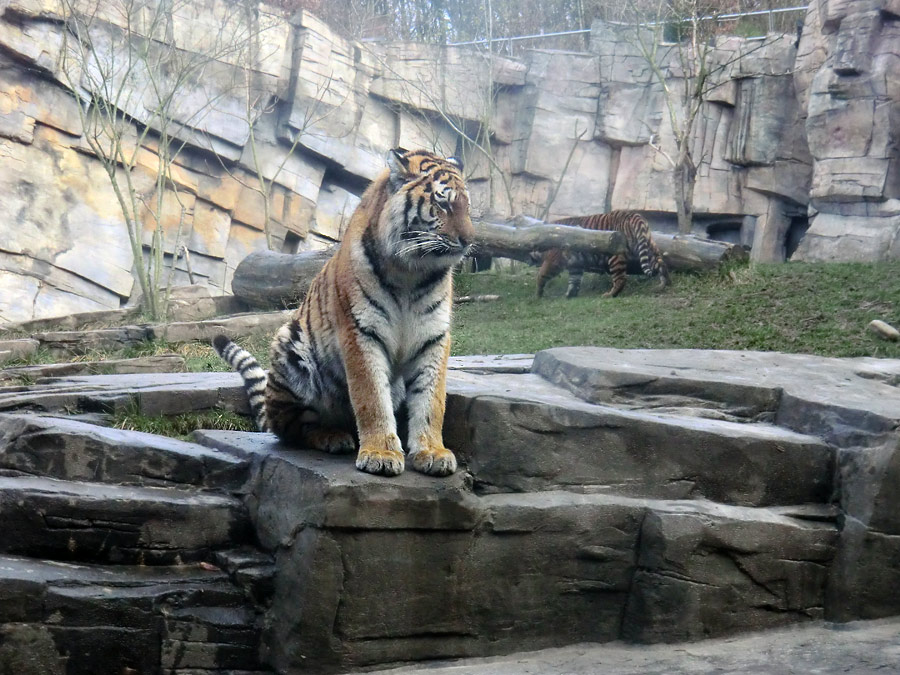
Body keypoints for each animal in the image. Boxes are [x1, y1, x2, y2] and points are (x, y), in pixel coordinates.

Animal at [214, 149, 474, 478]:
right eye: (443, 203)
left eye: (467, 206)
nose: (469, 240)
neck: (412, 272)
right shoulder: (360, 331)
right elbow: (371, 397)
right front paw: (381, 454)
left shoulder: (434, 336)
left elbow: (432, 400)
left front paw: (432, 452)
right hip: (290, 347)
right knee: (293, 428)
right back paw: (333, 437)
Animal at [536, 210, 668, 298]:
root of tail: (635, 215)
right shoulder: (575, 263)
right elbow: (574, 279)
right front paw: (570, 294)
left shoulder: (553, 260)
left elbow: (542, 274)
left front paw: (538, 294)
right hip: (648, 247)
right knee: (661, 265)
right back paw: (662, 285)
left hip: (615, 256)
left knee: (620, 279)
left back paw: (609, 295)